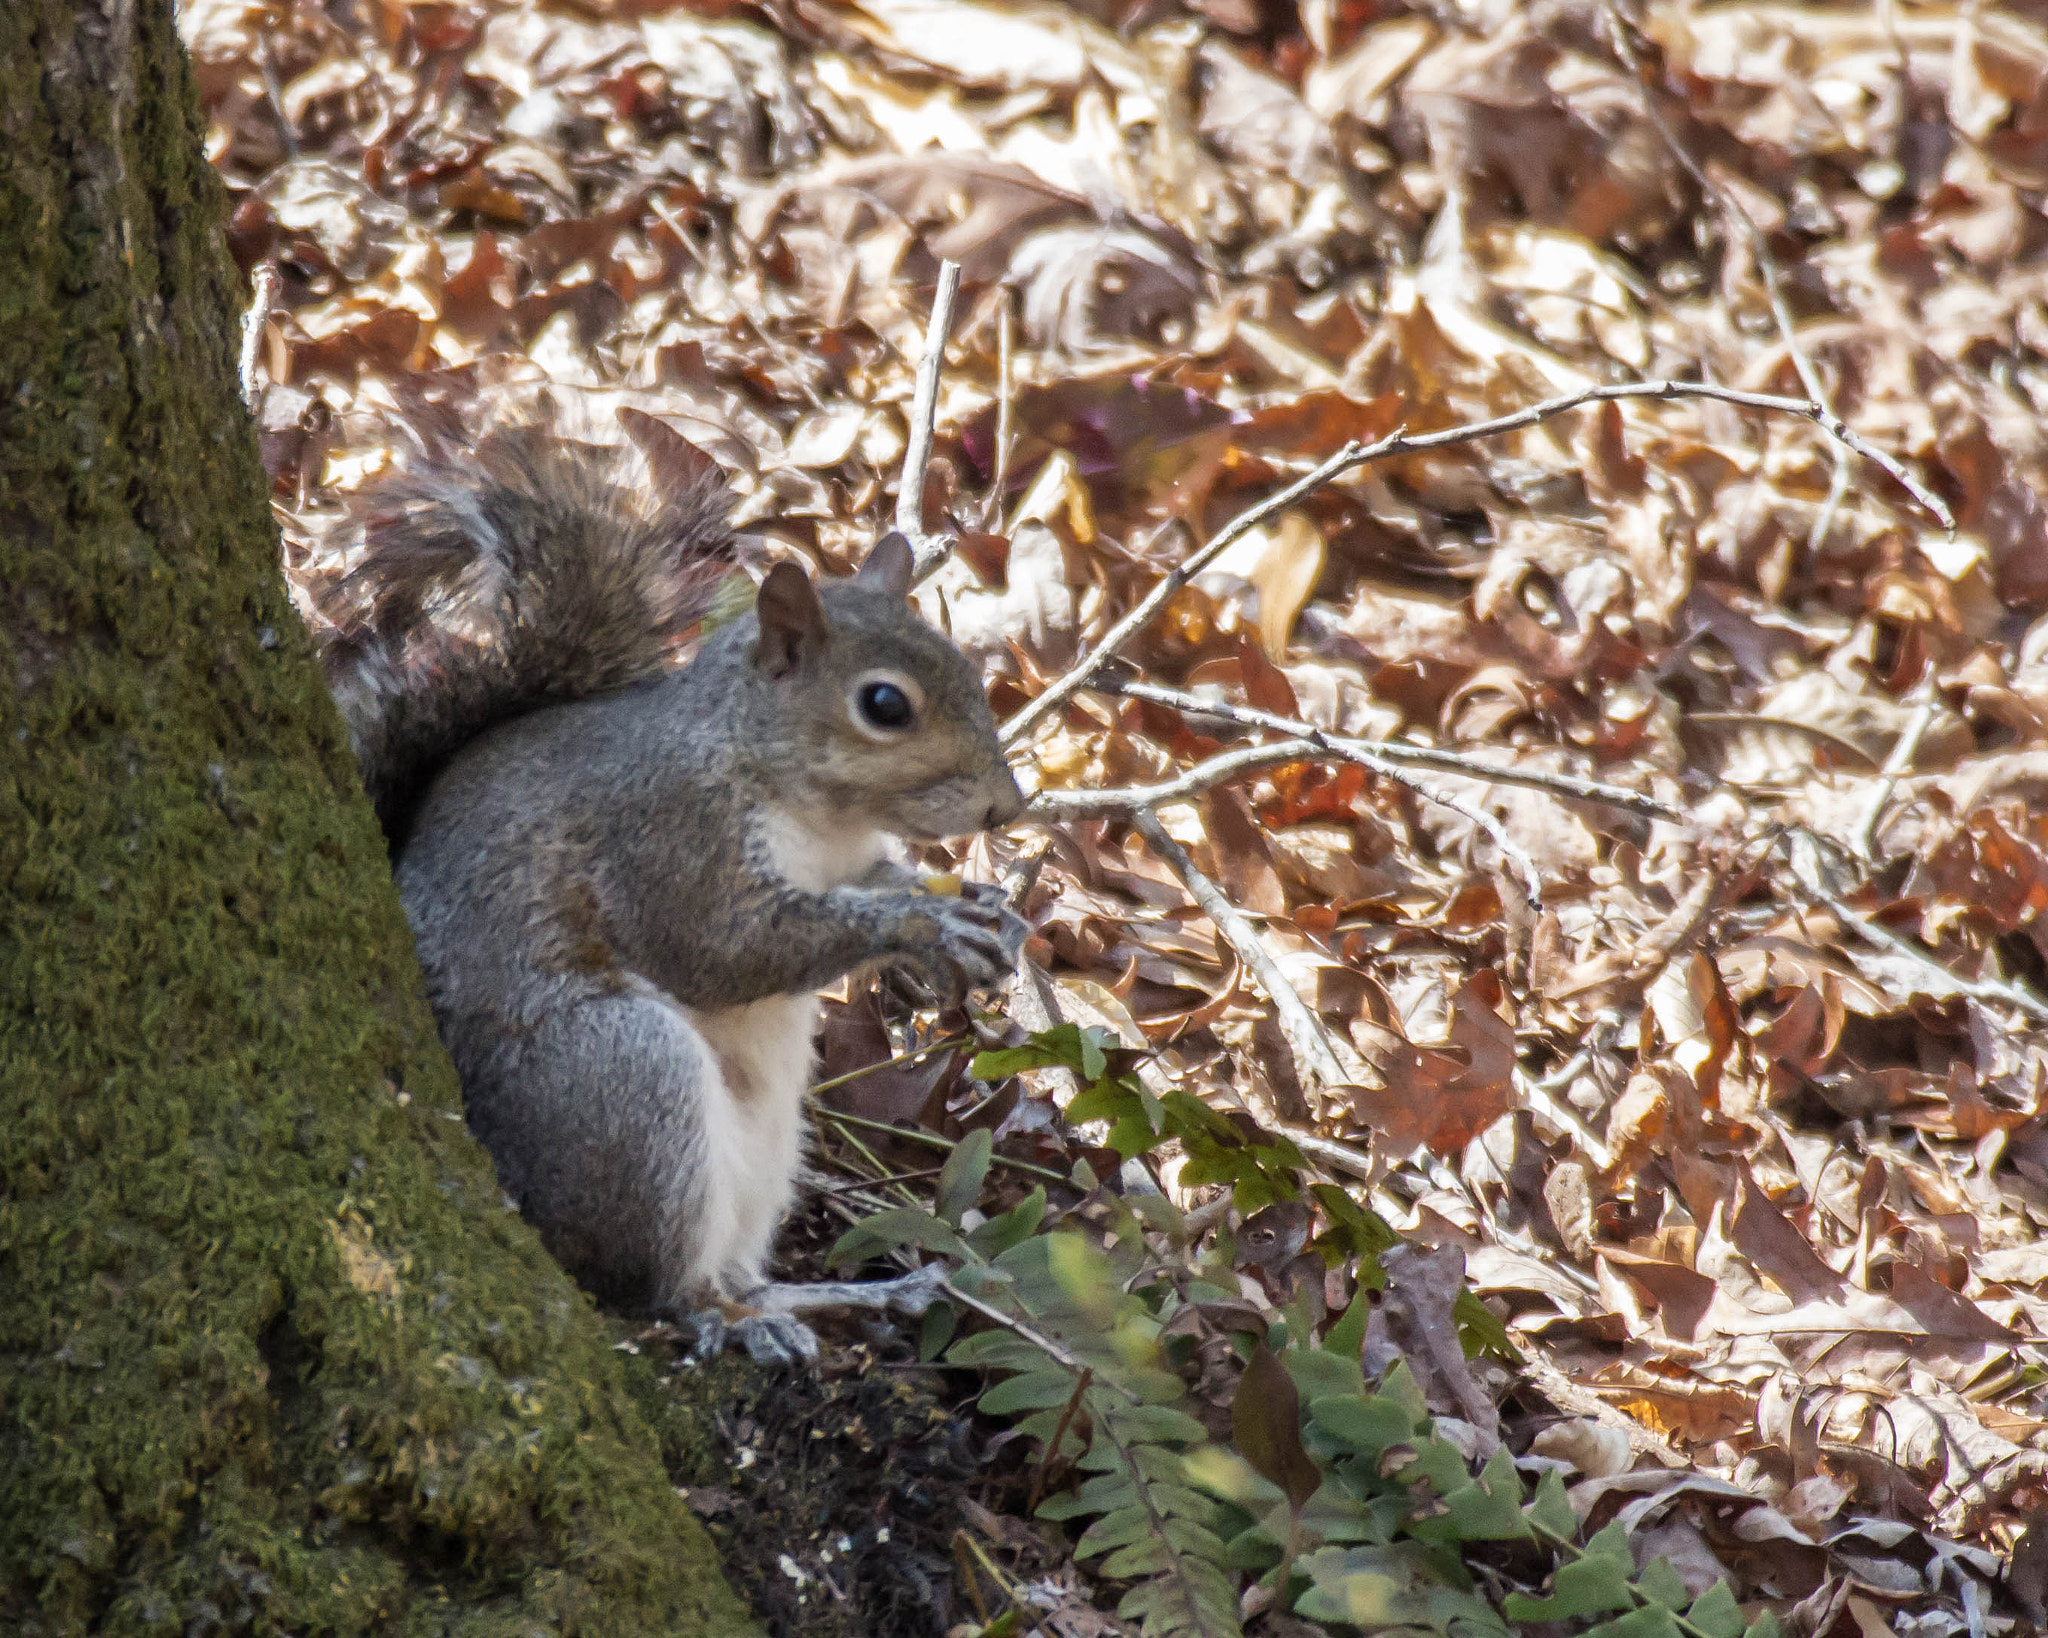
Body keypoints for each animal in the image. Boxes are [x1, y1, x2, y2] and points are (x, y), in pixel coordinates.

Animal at [305, 415, 1032, 1359]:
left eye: (968, 671)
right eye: (885, 705)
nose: (1007, 807)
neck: (803, 802)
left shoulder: (845, 859)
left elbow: (871, 884)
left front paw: (977, 915)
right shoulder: (667, 836)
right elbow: (725, 949)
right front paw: (925, 928)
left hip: (766, 1152)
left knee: (740, 1269)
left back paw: (849, 1295)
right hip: (624, 1078)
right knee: (663, 1288)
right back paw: (740, 1323)